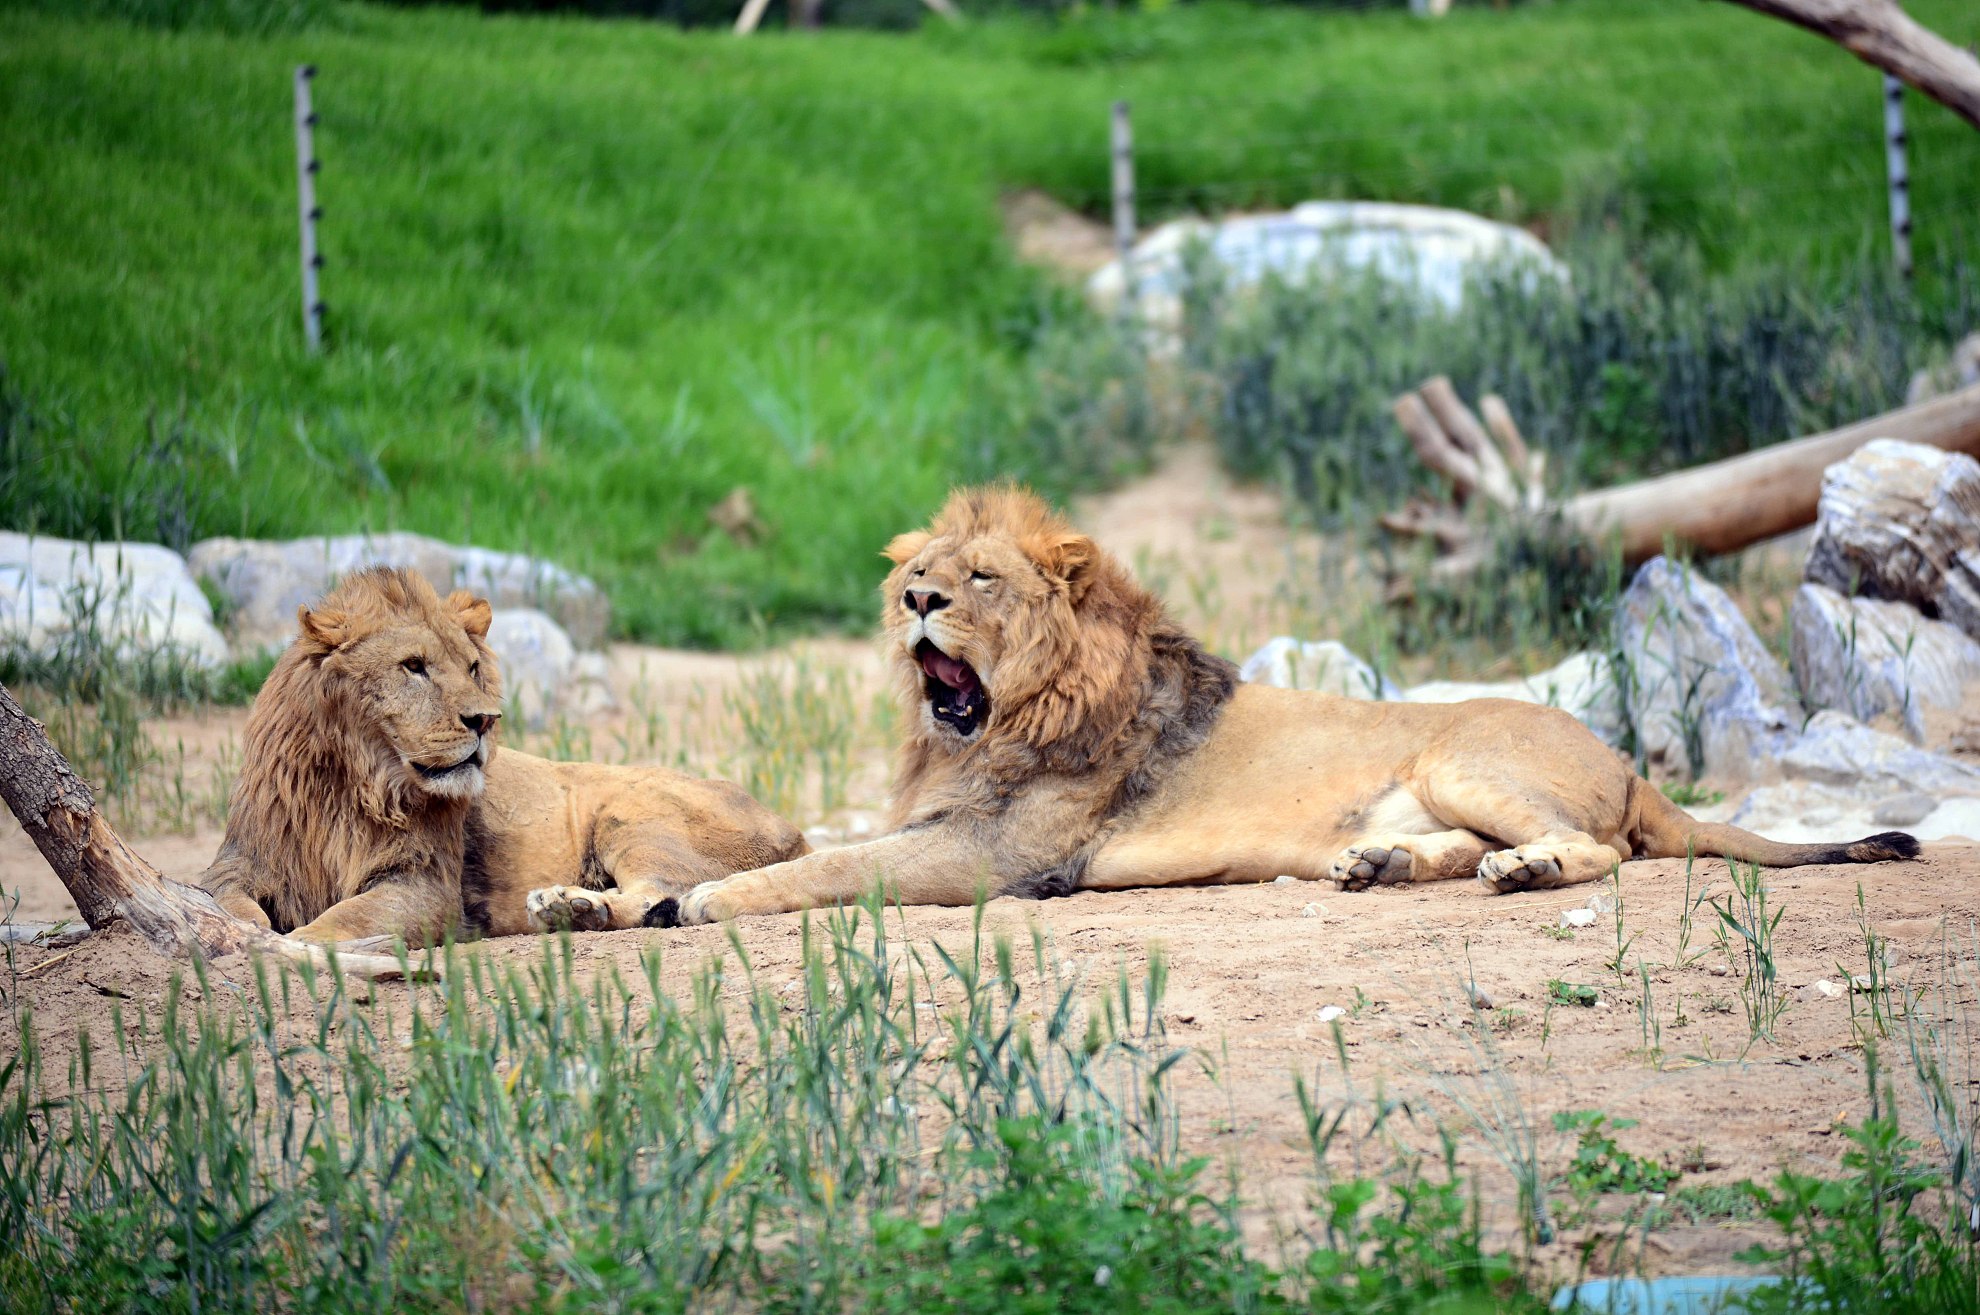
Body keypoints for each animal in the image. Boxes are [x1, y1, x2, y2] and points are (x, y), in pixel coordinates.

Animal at [200, 566, 811, 946]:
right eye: (414, 666)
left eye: (472, 667)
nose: (484, 719)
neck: (353, 783)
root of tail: (795, 830)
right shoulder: (241, 862)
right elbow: (224, 902)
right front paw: (249, 933)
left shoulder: (425, 884)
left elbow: (349, 916)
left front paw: (294, 945)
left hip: (631, 814)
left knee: (664, 893)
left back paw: (574, 907)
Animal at [665, 483, 1916, 922]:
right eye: (919, 569)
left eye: (980, 580)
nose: (917, 600)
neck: (988, 731)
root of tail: (1631, 764)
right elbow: (805, 850)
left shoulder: (997, 858)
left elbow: (825, 869)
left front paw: (691, 901)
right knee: (1465, 848)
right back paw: (1383, 865)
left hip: (1463, 753)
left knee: (1596, 850)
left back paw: (1523, 871)